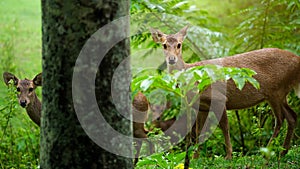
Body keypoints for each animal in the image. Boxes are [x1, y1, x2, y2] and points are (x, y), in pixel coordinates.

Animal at [151, 25, 298, 159]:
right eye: (164, 45)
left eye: (179, 45)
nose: (171, 59)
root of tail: (297, 60)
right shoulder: (202, 107)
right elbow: (199, 131)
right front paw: (195, 157)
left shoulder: (219, 98)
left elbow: (224, 127)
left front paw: (228, 156)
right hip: (281, 93)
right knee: (292, 116)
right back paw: (282, 152)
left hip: (276, 91)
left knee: (280, 119)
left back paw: (267, 153)